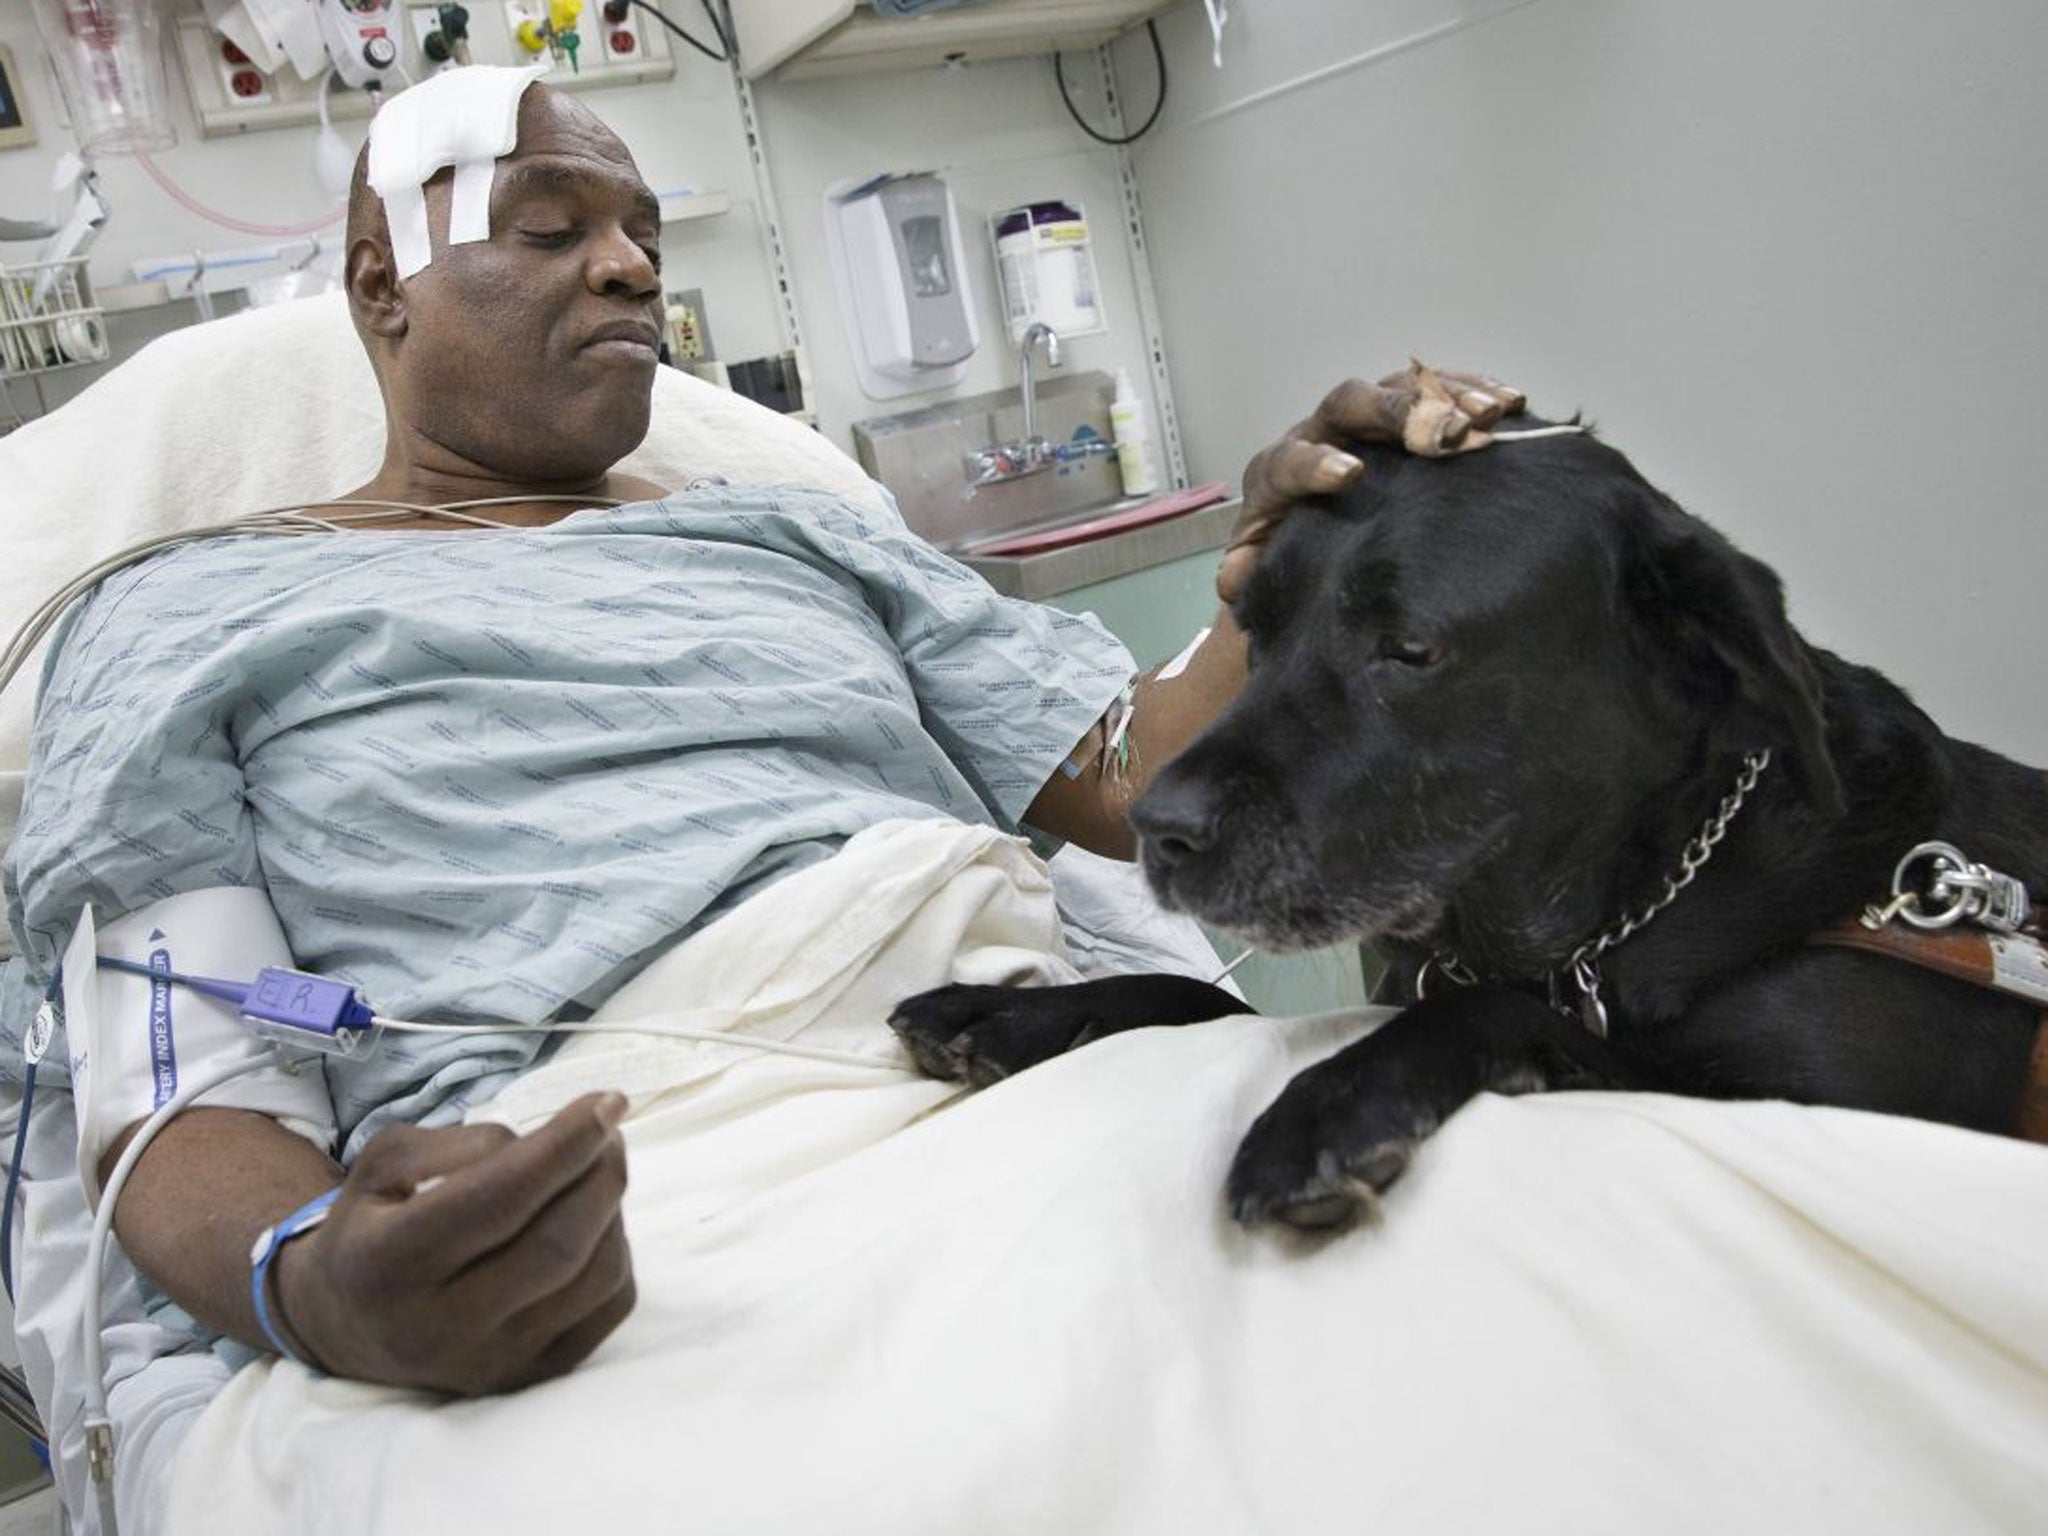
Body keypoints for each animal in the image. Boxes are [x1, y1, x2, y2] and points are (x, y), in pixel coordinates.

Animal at [892, 417, 2048, 1228]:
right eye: (1254, 629)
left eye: (1408, 648)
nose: (1156, 828)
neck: (1631, 907)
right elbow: (1196, 995)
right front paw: (1009, 1012)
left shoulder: (1836, 1118)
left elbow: (1494, 1014)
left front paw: (1330, 1104)